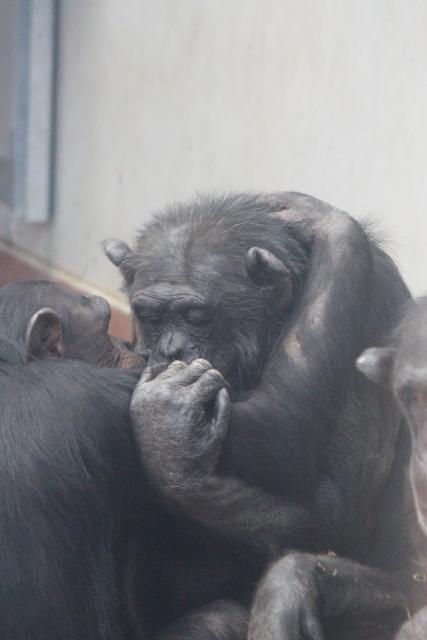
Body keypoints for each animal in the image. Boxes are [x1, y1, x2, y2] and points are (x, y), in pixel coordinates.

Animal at [105, 192, 416, 636]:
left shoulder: (371, 328)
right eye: (151, 316)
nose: (170, 348)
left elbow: (335, 509)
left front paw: (170, 446)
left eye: (196, 317)